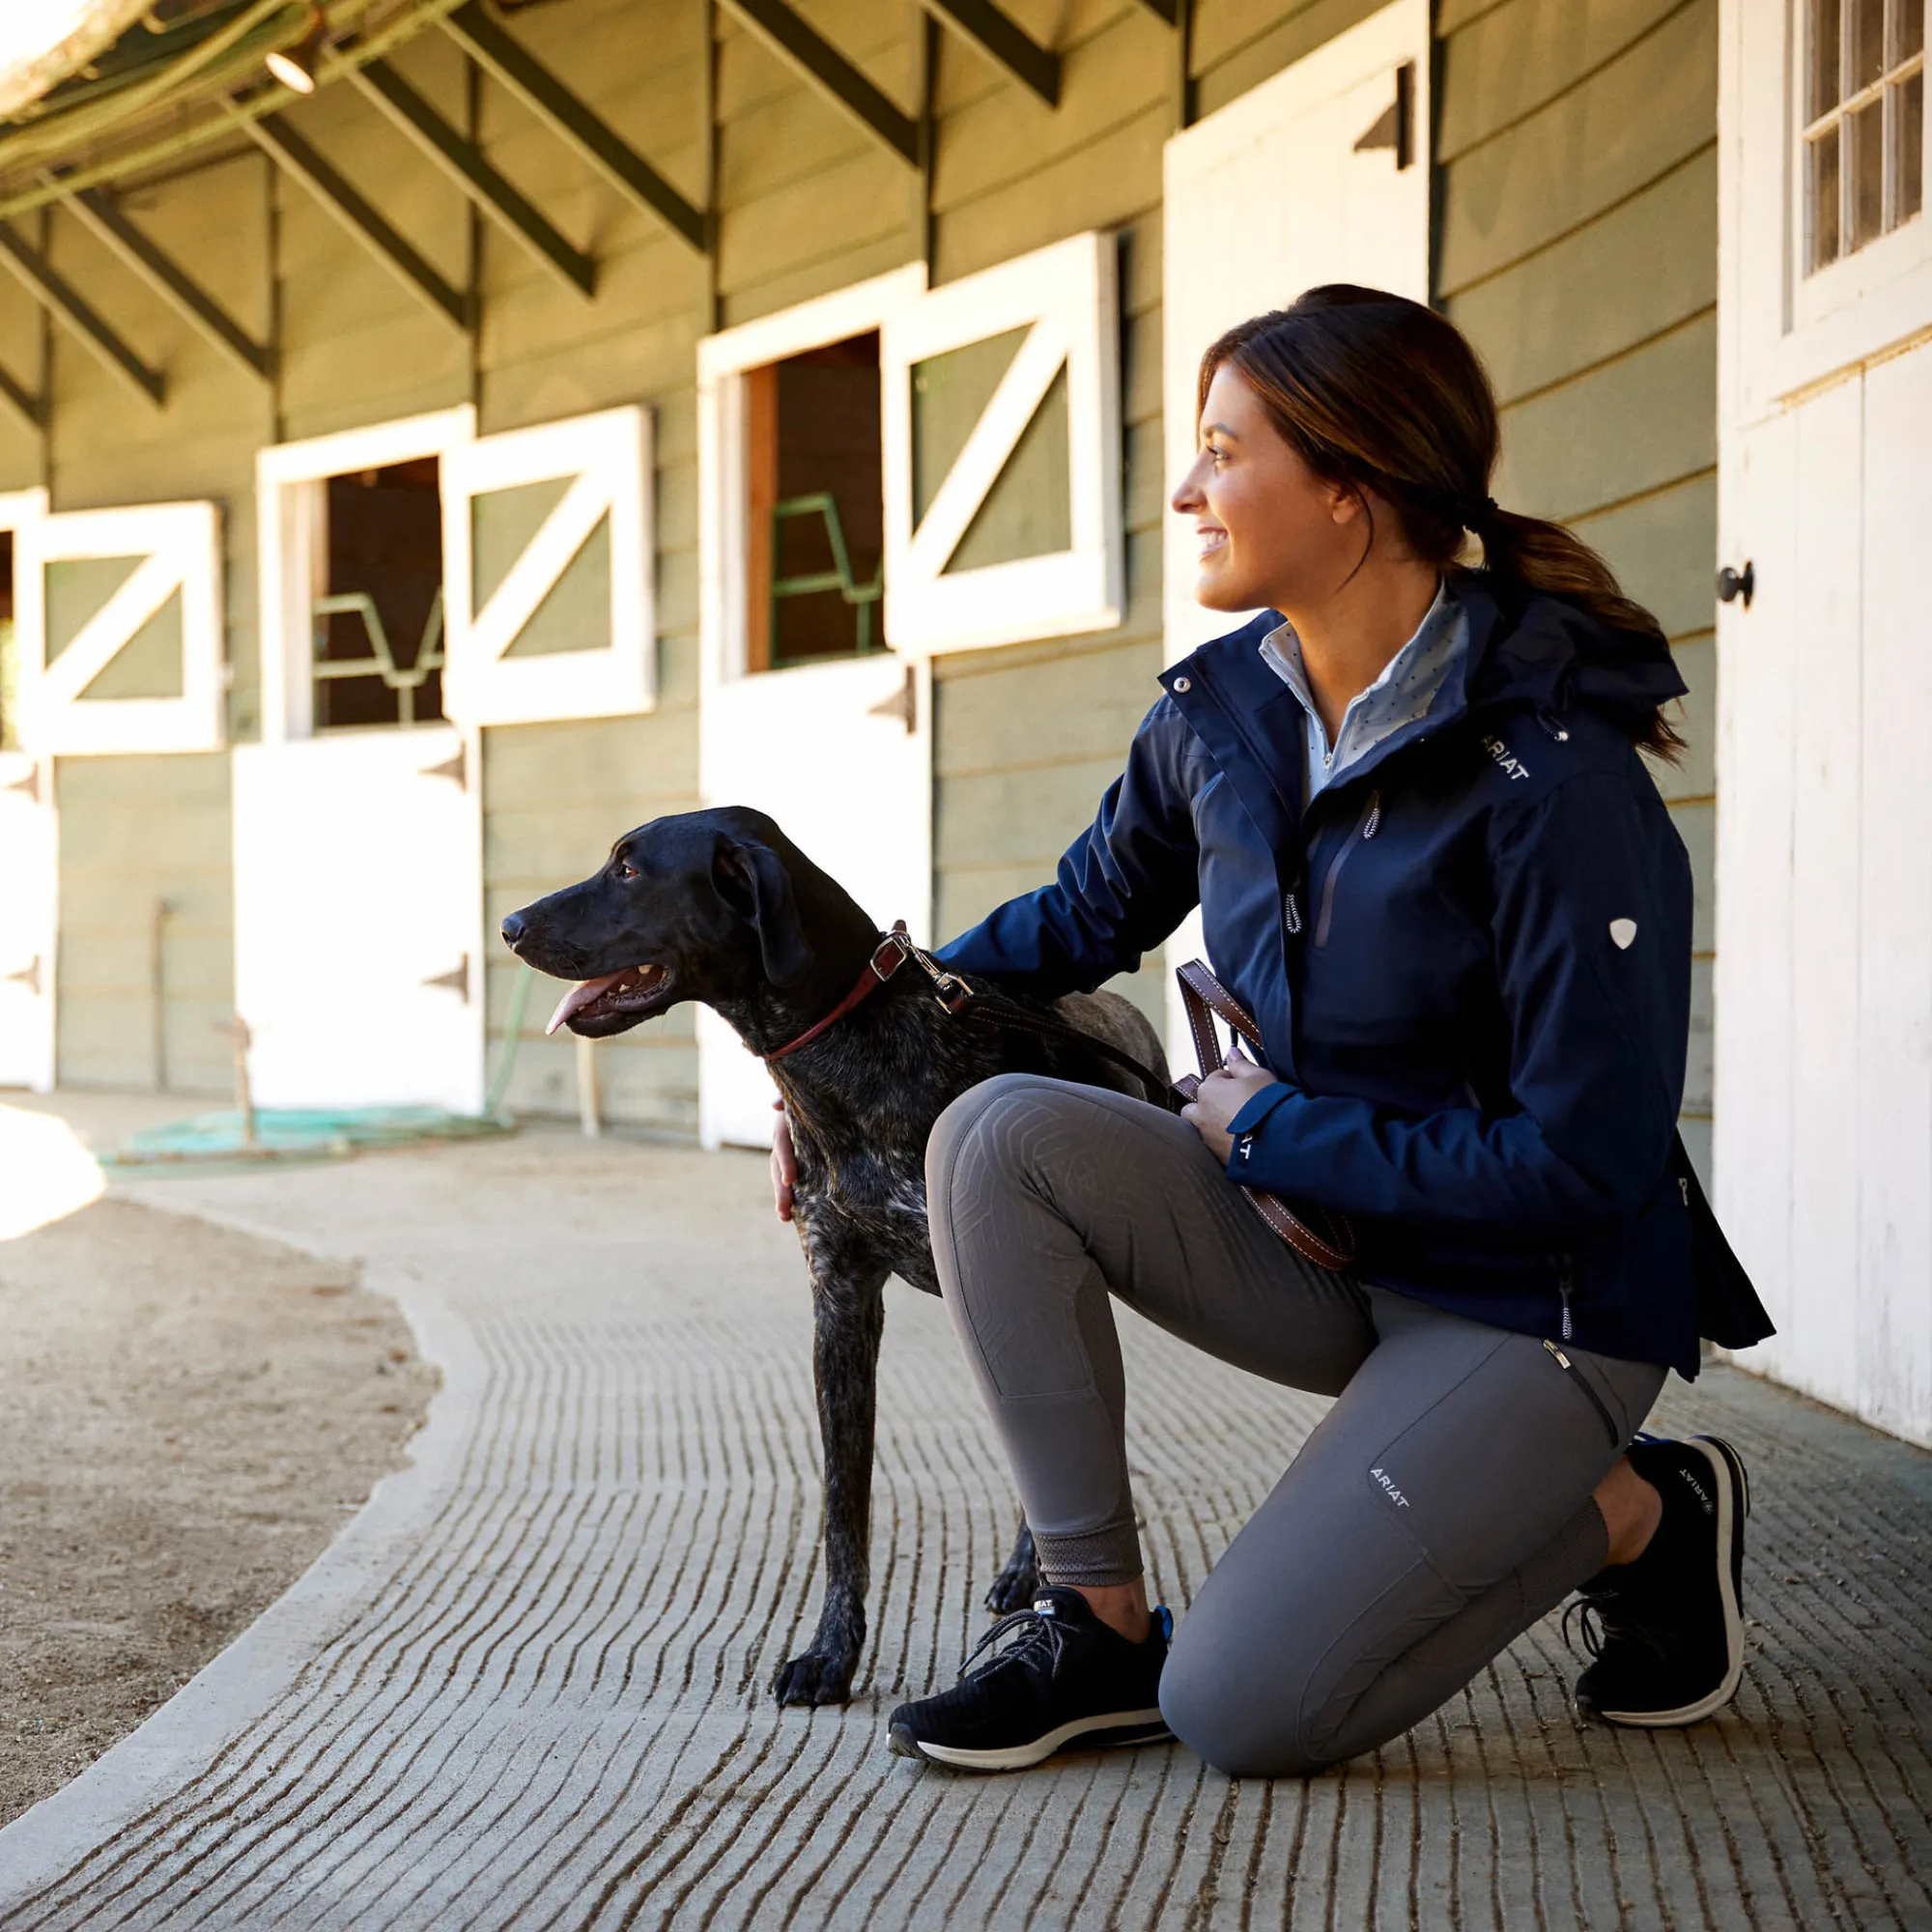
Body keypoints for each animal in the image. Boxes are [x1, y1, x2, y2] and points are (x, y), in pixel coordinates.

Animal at [501, 805, 1169, 1707]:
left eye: (629, 871)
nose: (509, 925)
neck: (855, 1053)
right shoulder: (841, 1303)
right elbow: (841, 1510)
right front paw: (832, 1653)